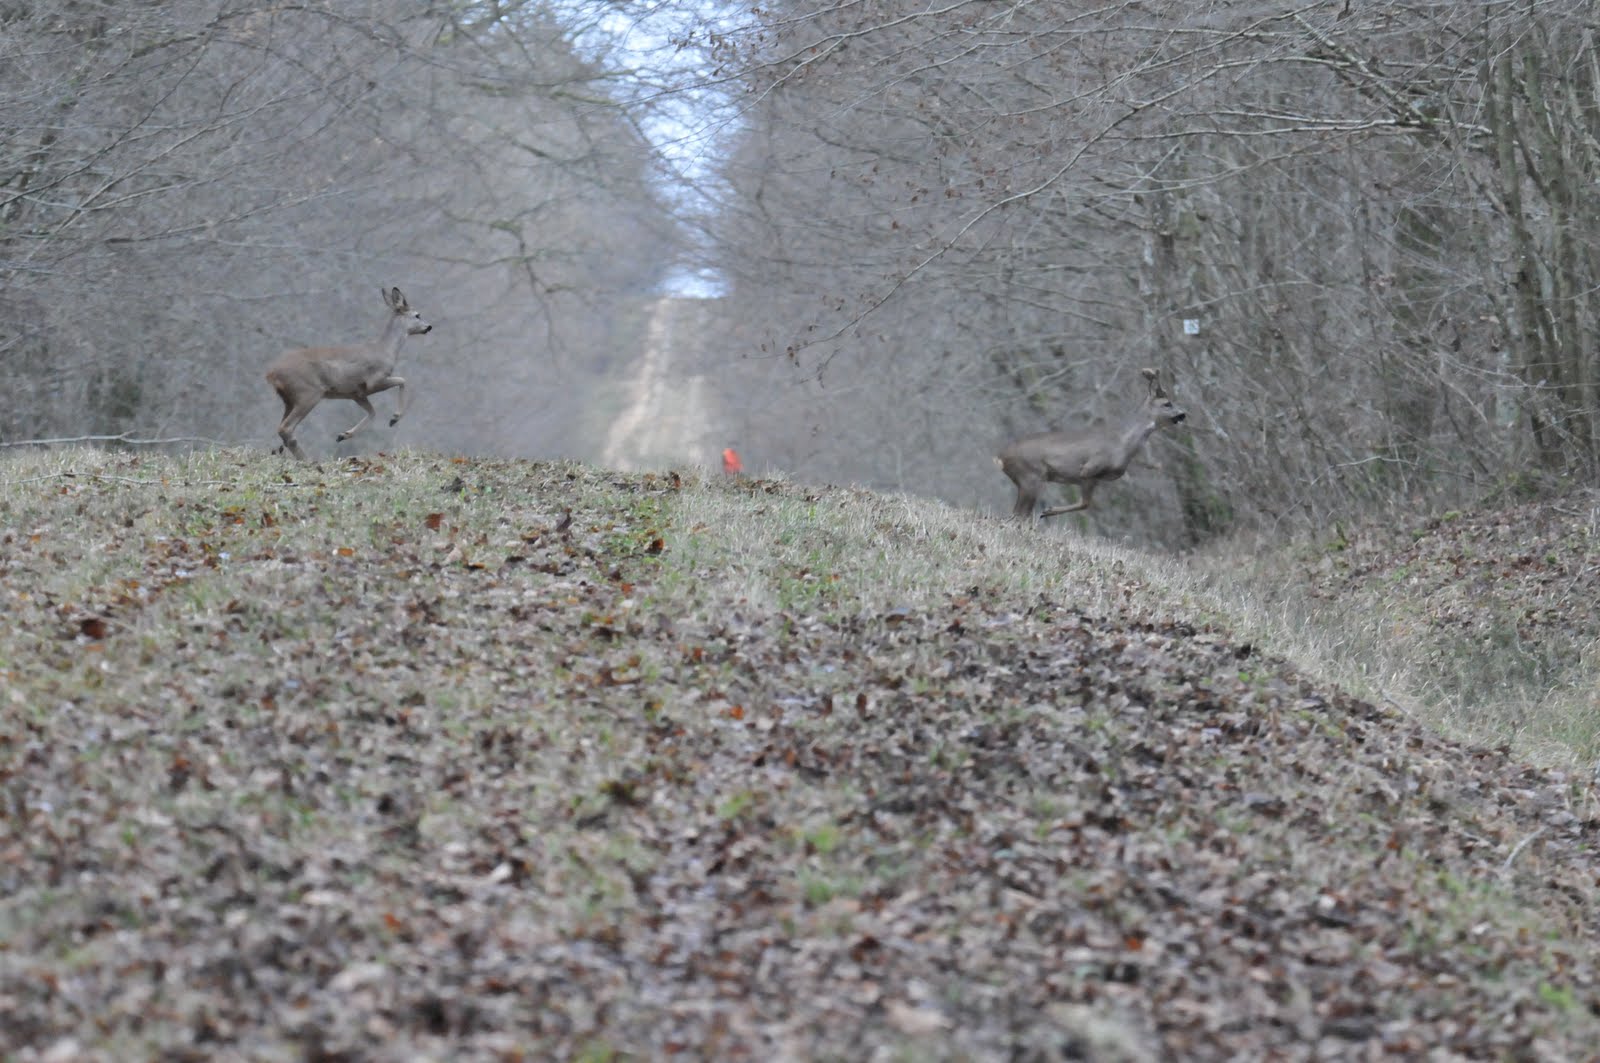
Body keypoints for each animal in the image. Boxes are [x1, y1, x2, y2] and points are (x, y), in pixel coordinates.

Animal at [267, 286, 432, 461]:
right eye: (417, 315)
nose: (429, 327)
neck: (385, 350)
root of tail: (271, 374)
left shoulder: (356, 393)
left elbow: (372, 412)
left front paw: (343, 435)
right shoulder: (374, 381)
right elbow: (402, 380)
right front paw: (394, 418)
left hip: (290, 400)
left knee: (282, 429)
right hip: (308, 393)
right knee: (286, 428)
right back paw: (307, 459)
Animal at [998, 368, 1190, 521]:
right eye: (1167, 403)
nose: (1183, 414)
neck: (1123, 444)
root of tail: (1000, 458)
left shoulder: (1093, 479)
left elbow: (1085, 504)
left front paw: (1048, 511)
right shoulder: (1089, 469)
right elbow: (1085, 503)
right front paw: (1048, 510)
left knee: (1018, 514)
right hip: (1031, 477)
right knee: (1018, 514)